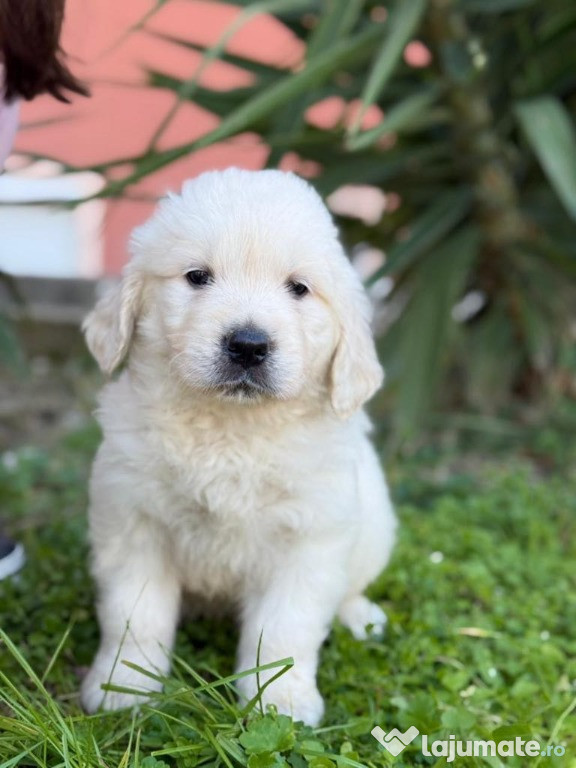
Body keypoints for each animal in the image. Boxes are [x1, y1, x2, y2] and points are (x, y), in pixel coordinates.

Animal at [80, 168, 396, 728]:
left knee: (352, 587)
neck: (232, 428)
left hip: (375, 528)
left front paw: (281, 701)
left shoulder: (308, 537)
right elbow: (134, 615)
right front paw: (124, 688)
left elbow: (286, 629)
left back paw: (360, 616)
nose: (248, 345)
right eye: (197, 277)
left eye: (299, 288)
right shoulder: (134, 522)